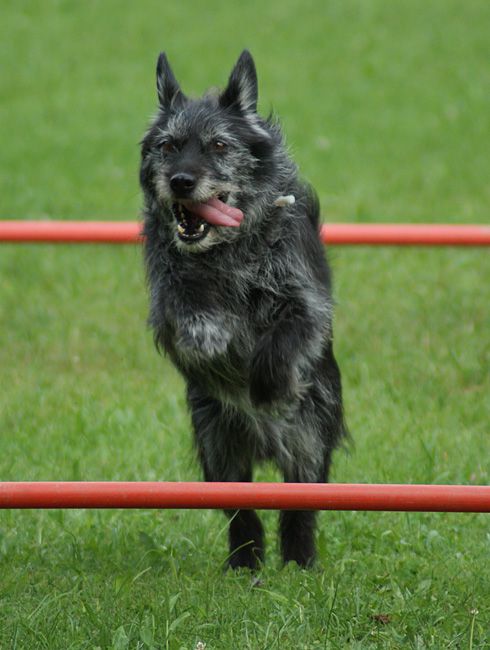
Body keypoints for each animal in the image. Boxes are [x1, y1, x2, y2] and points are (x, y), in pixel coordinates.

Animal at [140, 49, 346, 568]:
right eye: (168, 146)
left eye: (218, 144)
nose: (181, 181)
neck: (228, 248)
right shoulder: (167, 301)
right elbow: (188, 315)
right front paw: (209, 334)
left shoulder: (305, 301)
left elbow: (285, 337)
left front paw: (269, 384)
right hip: (219, 445)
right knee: (242, 510)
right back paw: (245, 563)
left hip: (308, 442)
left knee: (299, 508)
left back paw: (298, 563)